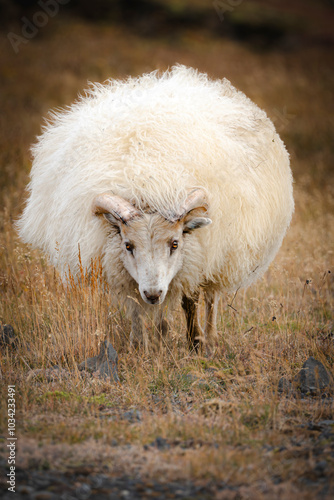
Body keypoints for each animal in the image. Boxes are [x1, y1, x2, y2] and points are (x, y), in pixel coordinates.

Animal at [17, 64, 292, 350]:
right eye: (128, 246)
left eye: (175, 244)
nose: (152, 293)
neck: (148, 189)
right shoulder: (127, 272)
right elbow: (137, 307)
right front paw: (143, 343)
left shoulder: (195, 258)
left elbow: (190, 301)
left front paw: (195, 341)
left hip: (223, 253)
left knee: (211, 297)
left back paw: (210, 337)